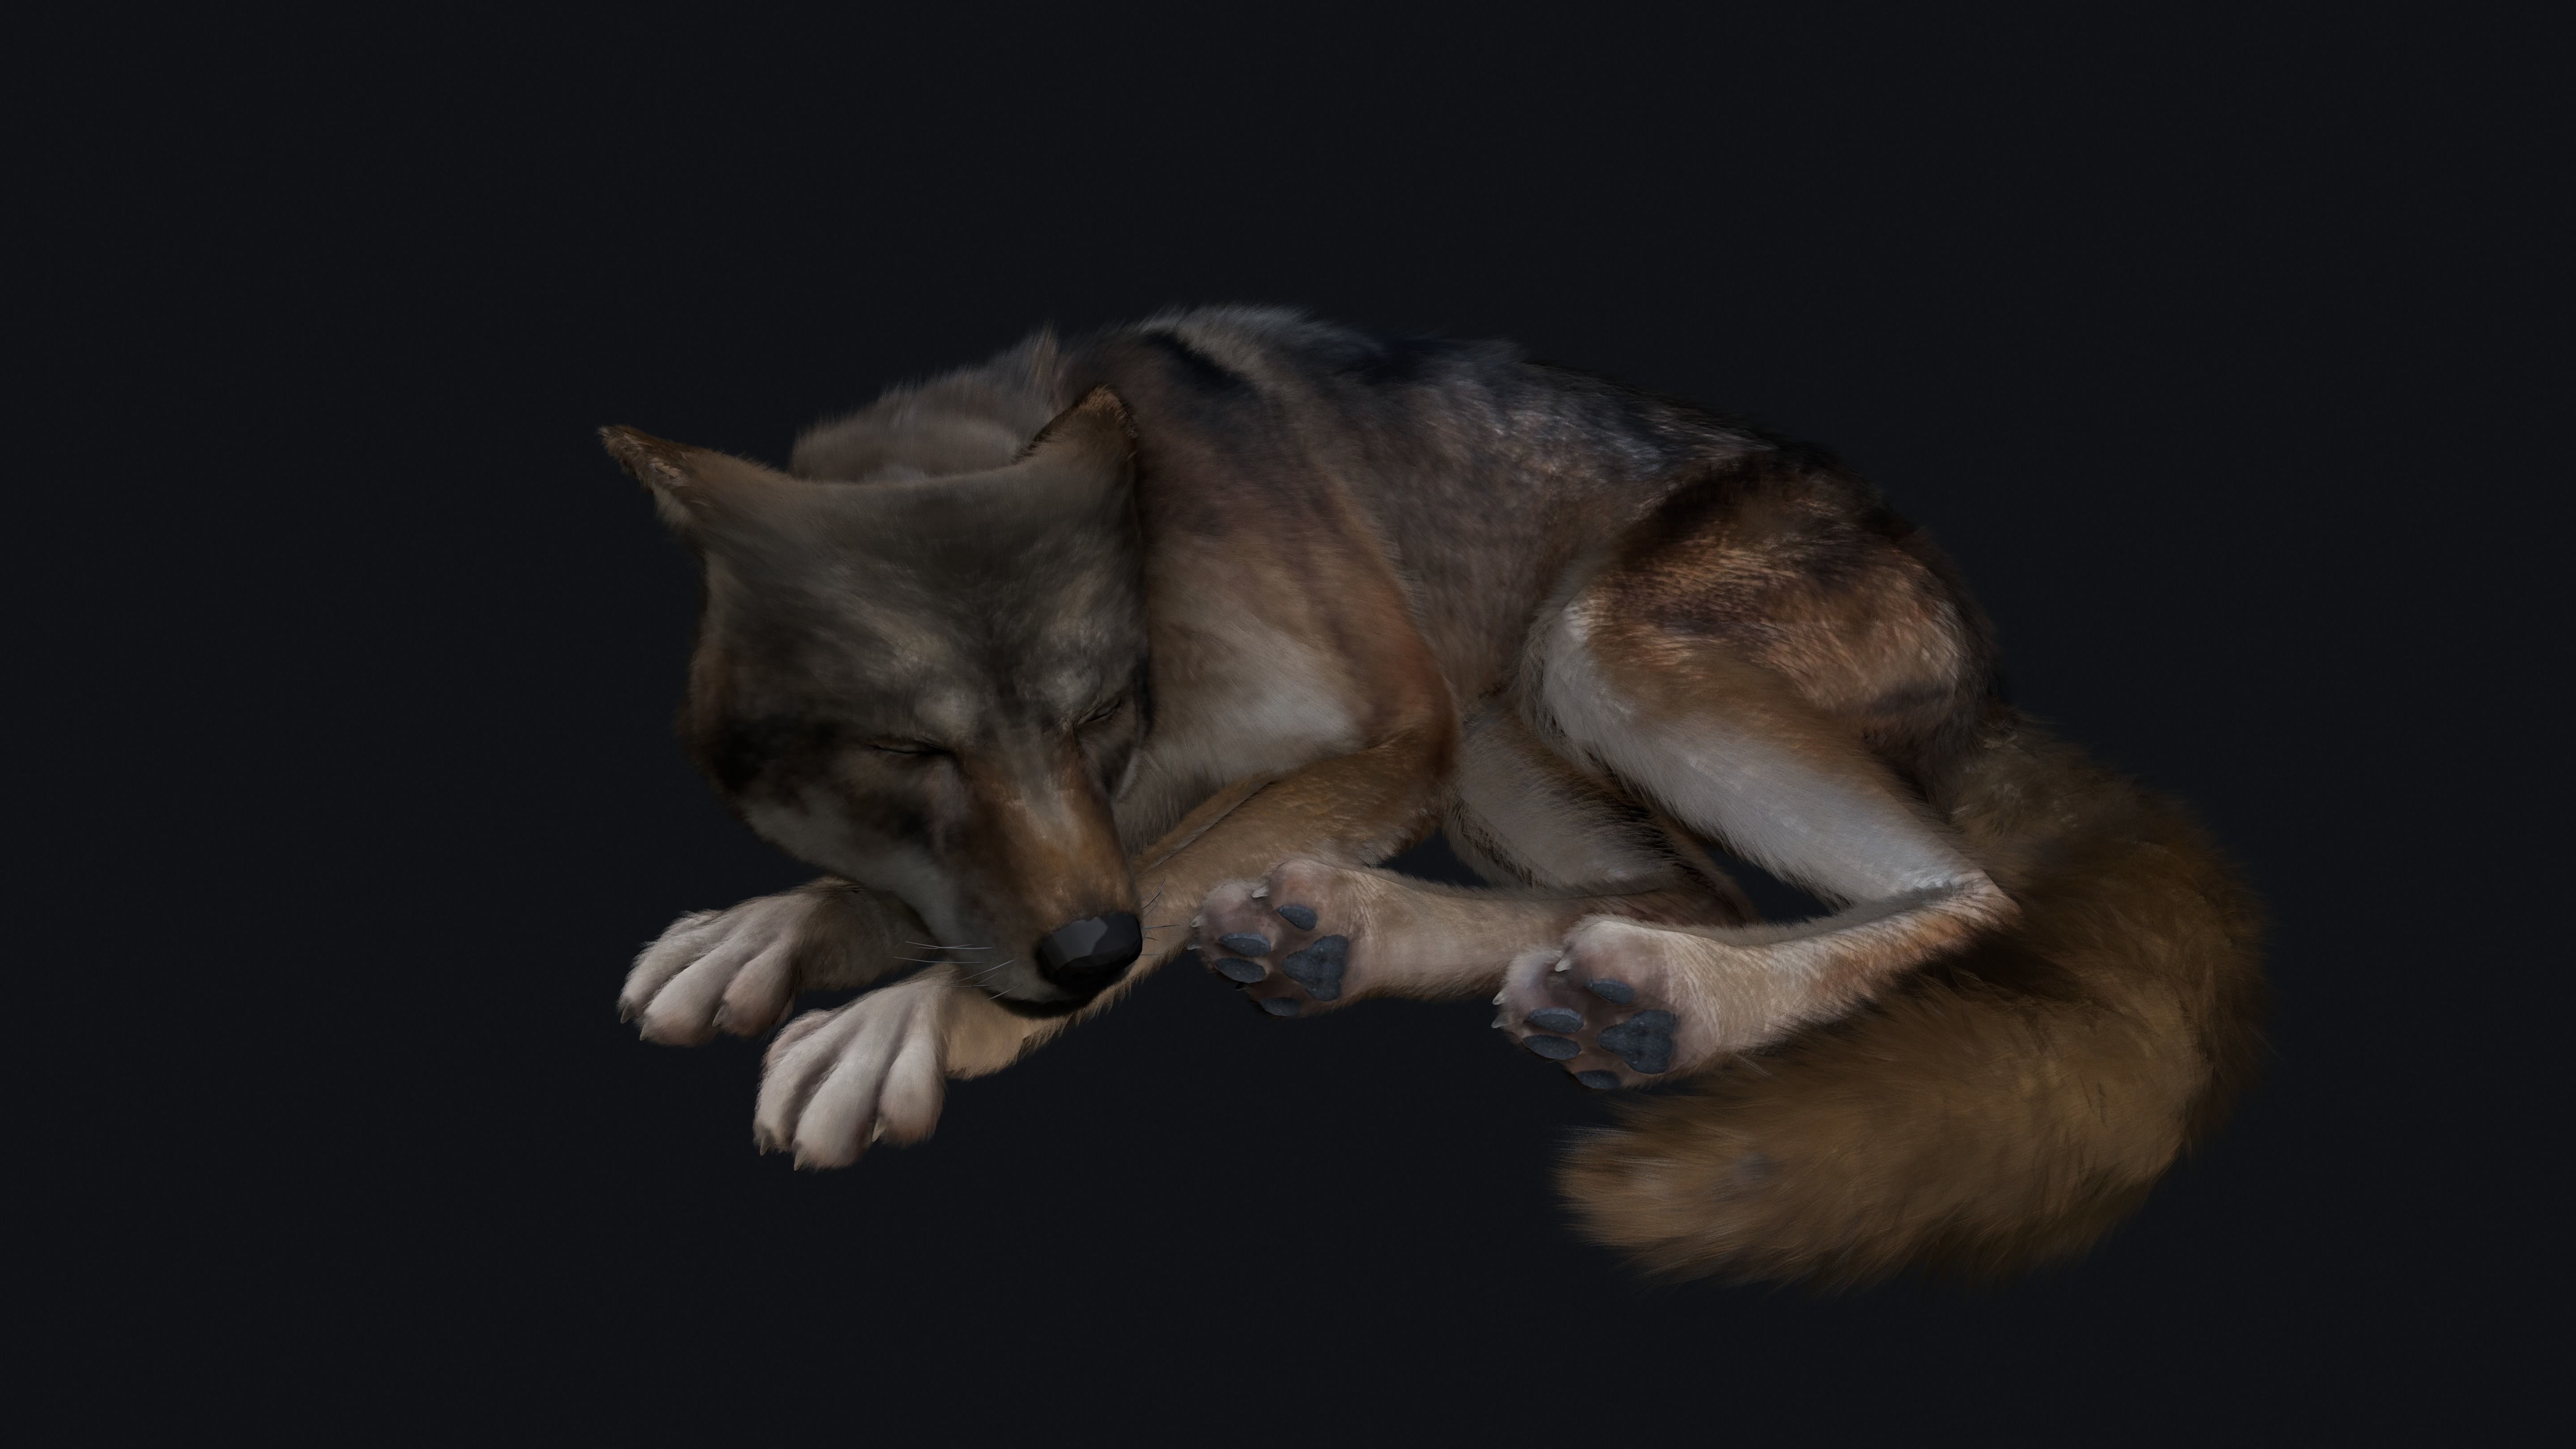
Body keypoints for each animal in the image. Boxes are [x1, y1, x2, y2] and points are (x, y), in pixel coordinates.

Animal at [601, 306, 2265, 1285]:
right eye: (913, 753)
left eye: (1092, 714)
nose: (1084, 959)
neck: (1155, 557)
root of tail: (1991, 676)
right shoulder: (1167, 813)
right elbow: (951, 888)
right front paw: (778, 929)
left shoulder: (1381, 729)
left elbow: (1158, 879)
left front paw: (904, 1021)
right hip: (1507, 719)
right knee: (1691, 888)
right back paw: (1373, 938)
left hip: (1585, 650)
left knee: (1963, 892)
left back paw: (1657, 1000)